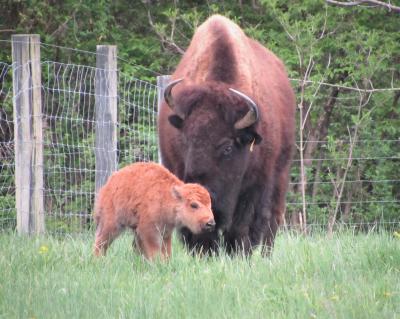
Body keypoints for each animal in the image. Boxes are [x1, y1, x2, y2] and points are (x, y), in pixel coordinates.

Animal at [158, 15, 296, 256]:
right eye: (185, 141)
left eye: (227, 147)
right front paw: (203, 252)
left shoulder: (254, 186)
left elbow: (242, 226)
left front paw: (238, 254)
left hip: (281, 173)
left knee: (273, 218)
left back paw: (265, 255)